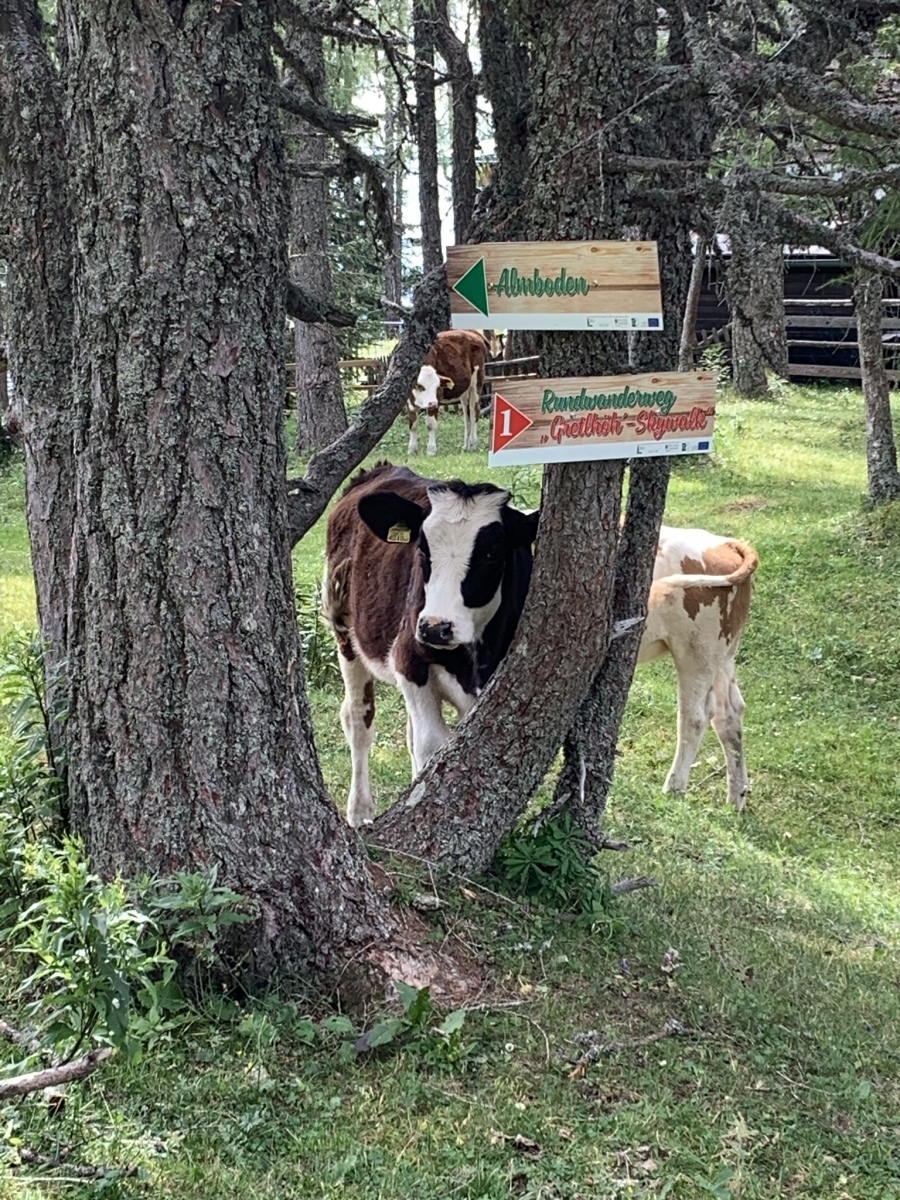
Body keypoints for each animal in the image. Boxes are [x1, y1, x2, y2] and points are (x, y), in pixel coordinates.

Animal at [323, 463, 759, 825]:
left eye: (492, 551)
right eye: (423, 549)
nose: (436, 627)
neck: (477, 655)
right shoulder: (410, 660)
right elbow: (431, 745)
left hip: (700, 653)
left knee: (701, 715)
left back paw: (682, 787)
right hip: (344, 629)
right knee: (359, 719)